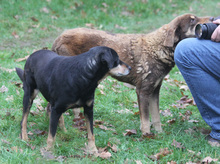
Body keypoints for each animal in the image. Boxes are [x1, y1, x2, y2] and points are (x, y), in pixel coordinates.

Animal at [52, 13, 211, 135]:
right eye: (192, 20)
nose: (211, 18)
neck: (158, 48)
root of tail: (58, 39)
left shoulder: (154, 91)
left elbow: (156, 116)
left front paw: (159, 135)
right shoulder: (143, 91)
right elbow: (145, 119)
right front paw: (146, 136)